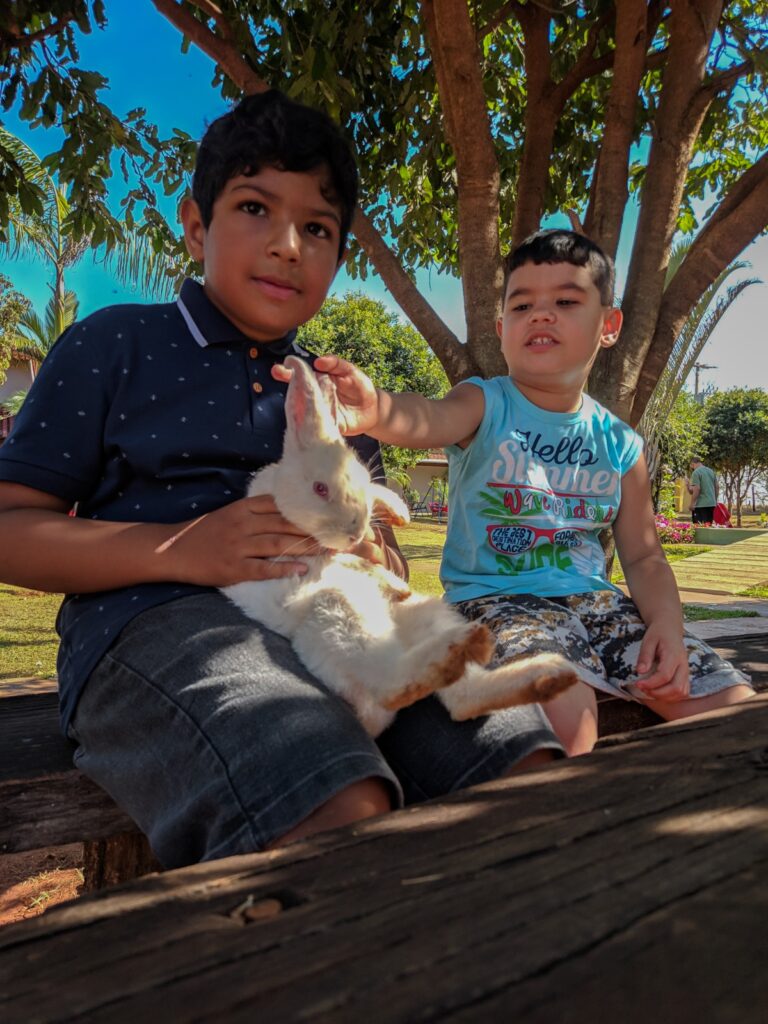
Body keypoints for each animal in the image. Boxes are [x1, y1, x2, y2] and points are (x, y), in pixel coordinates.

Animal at [224, 354, 577, 737]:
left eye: (361, 479)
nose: (355, 533)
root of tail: (369, 718)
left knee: (460, 700)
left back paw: (545, 673)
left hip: (425, 614)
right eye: (320, 489)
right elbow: (343, 559)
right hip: (338, 612)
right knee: (393, 685)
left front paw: (400, 516)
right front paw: (384, 569)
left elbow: (378, 497)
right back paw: (468, 646)